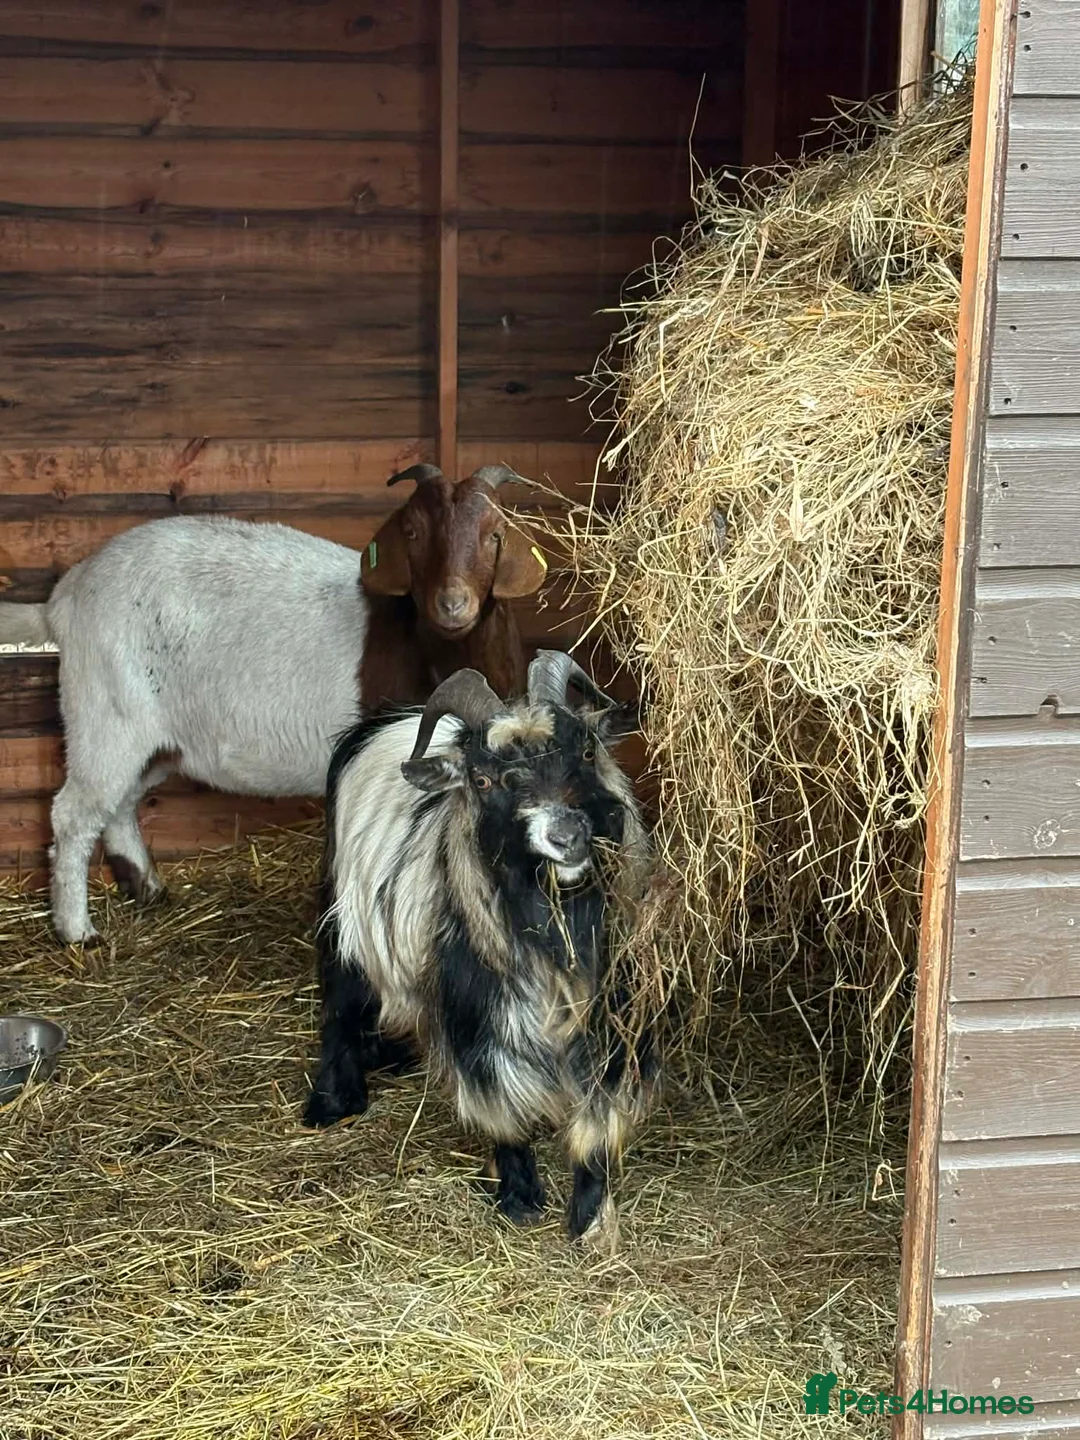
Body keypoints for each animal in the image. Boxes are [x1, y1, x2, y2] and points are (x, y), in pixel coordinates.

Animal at [0, 462, 547, 946]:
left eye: (495, 533)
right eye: (412, 532)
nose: (452, 604)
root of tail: (64, 597)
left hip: (154, 737)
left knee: (120, 802)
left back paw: (147, 887)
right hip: (105, 710)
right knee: (75, 813)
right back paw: (76, 931)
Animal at [304, 650, 655, 1243]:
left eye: (587, 750)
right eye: (484, 779)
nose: (566, 836)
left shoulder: (614, 1009)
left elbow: (599, 1114)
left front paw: (588, 1216)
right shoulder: (475, 1019)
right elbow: (500, 1106)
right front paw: (519, 1196)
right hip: (343, 922)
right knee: (342, 1003)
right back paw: (335, 1100)